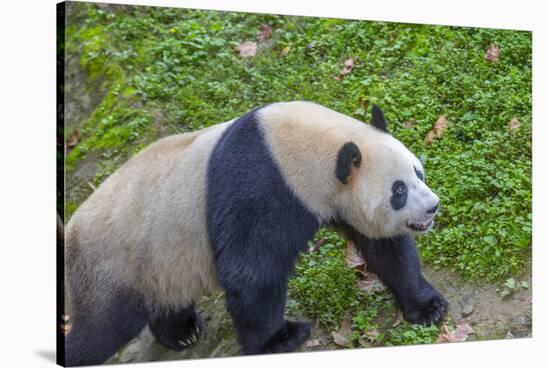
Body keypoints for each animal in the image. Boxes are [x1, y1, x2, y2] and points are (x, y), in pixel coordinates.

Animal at [64, 100, 448, 366]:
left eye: (418, 172)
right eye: (399, 190)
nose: (432, 207)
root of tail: (70, 230)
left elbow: (385, 248)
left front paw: (427, 307)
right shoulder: (264, 187)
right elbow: (251, 272)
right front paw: (279, 339)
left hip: (157, 261)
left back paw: (181, 333)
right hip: (112, 262)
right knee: (102, 328)